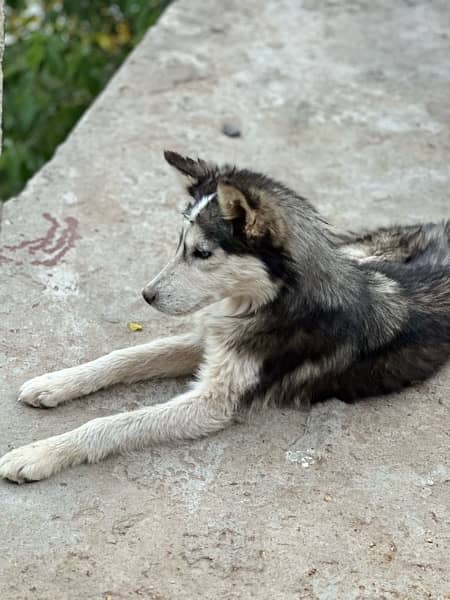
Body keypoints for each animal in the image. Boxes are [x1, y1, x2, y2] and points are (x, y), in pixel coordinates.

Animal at [0, 151, 450, 482]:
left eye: (202, 253)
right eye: (179, 245)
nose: (146, 296)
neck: (270, 299)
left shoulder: (215, 403)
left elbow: (112, 424)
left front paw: (38, 453)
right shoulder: (211, 339)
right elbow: (123, 358)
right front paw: (55, 382)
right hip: (368, 250)